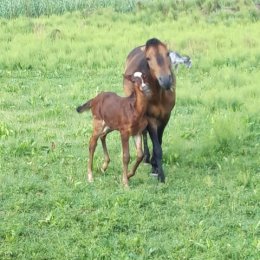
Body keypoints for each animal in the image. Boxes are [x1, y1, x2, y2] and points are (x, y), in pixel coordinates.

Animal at [123, 38, 176, 183]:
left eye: (168, 53)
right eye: (148, 58)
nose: (166, 80)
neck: (159, 95)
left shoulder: (165, 117)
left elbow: (159, 141)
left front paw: (155, 167)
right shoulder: (150, 119)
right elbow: (157, 147)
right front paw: (160, 175)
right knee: (143, 133)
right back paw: (146, 157)